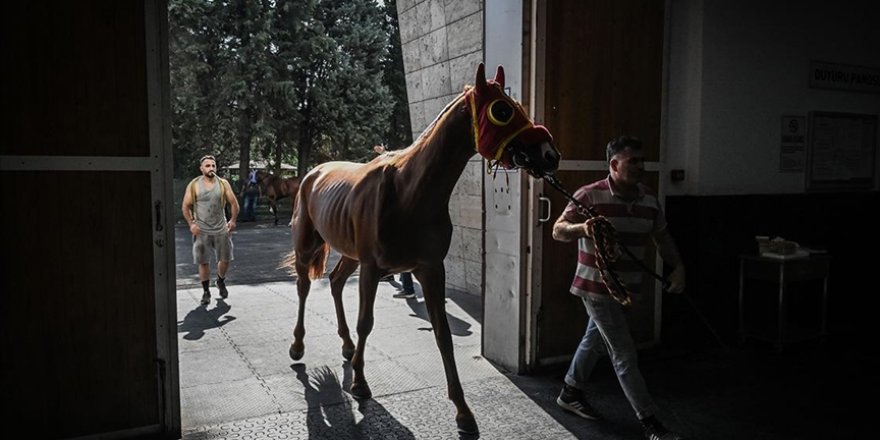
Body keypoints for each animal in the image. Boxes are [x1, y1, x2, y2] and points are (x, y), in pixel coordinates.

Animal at [286, 63, 560, 434]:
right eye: (502, 110)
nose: (550, 154)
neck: (408, 192)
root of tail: (315, 170)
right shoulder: (373, 268)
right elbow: (366, 322)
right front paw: (360, 383)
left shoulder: (430, 268)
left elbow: (443, 333)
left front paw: (463, 411)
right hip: (308, 243)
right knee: (303, 286)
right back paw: (298, 346)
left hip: (350, 254)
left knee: (337, 281)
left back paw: (346, 346)